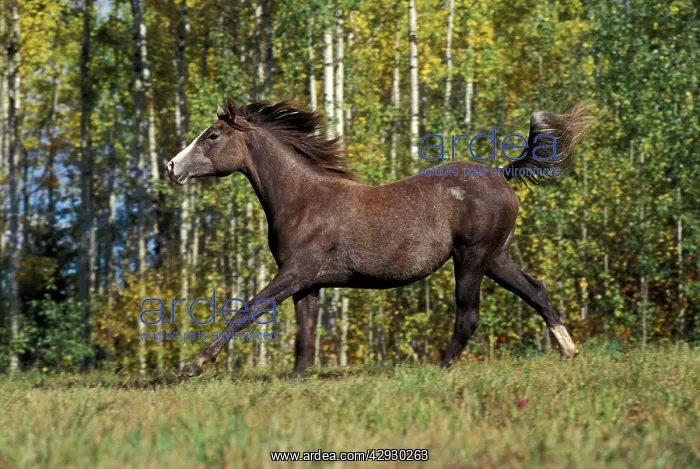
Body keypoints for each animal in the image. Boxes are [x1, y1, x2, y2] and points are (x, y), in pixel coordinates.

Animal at [167, 99, 591, 378]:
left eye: (213, 135)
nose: (172, 166)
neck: (302, 199)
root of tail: (503, 174)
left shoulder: (296, 272)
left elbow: (248, 310)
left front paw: (193, 365)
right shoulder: (308, 283)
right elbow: (305, 335)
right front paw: (297, 380)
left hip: (472, 258)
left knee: (469, 314)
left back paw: (440, 367)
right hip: (496, 259)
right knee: (536, 291)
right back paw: (569, 351)